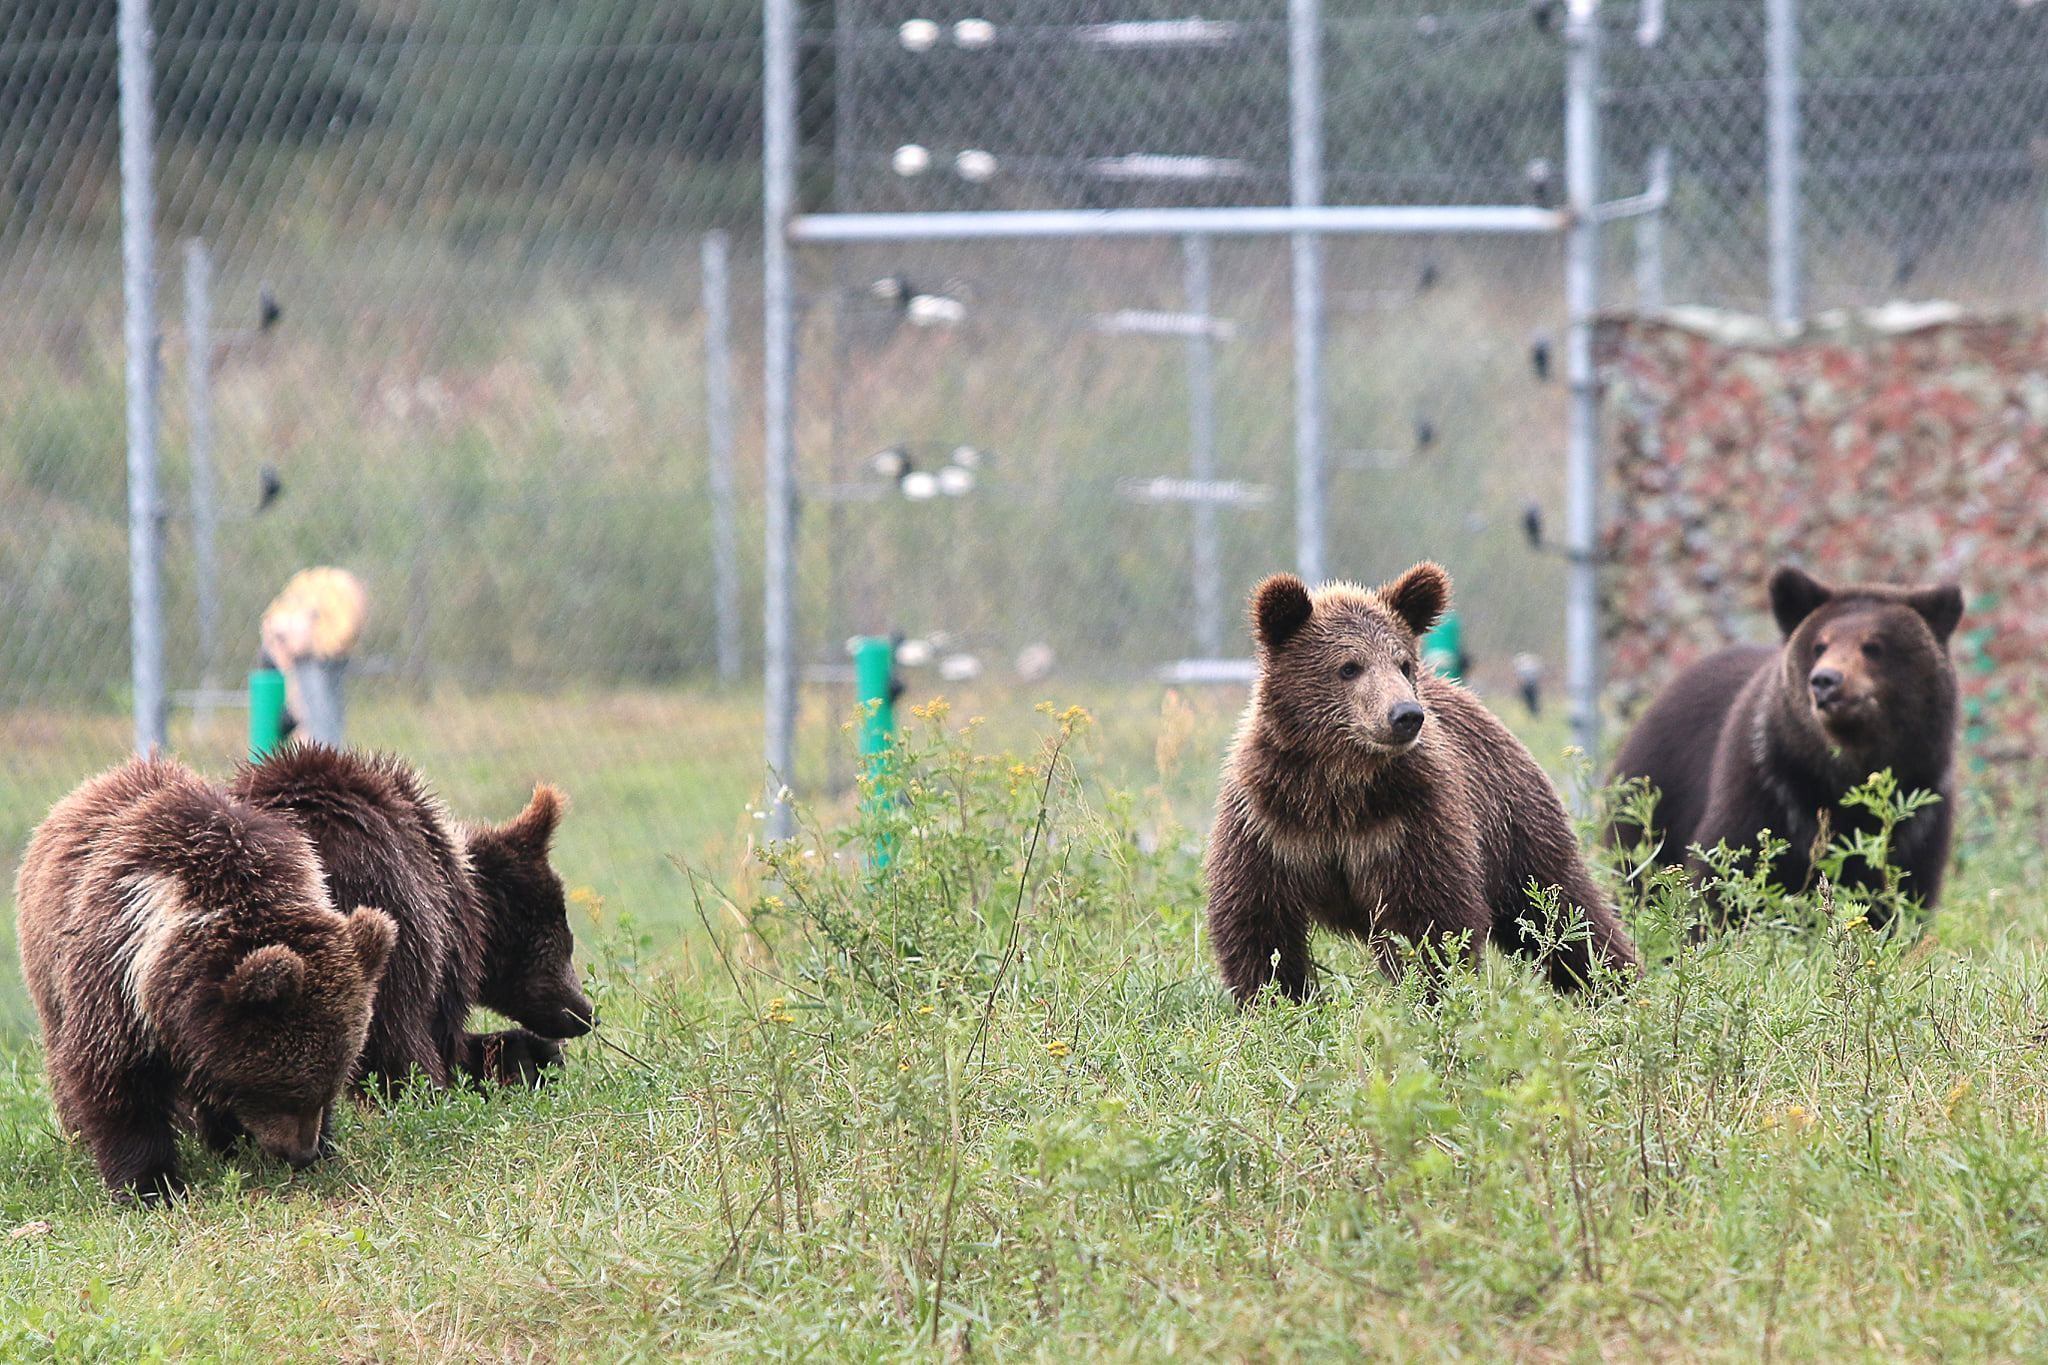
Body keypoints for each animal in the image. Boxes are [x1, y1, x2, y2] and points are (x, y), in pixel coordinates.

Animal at [14, 757, 399, 1203]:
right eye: (285, 1089)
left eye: (330, 1085)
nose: (301, 1153)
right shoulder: (115, 972)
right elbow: (116, 1080)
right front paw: (151, 1185)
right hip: (48, 972)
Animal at [234, 740, 598, 1096]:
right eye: (563, 939)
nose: (584, 1012)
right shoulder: (439, 931)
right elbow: (441, 1036)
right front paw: (517, 1058)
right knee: (397, 1029)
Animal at [1204, 556, 1638, 1002]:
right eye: (1349, 667)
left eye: (1403, 663)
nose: (1405, 714)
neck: (1339, 784)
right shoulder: (1270, 821)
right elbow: (1258, 922)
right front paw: (1274, 998)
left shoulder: (1409, 820)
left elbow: (1432, 920)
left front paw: (1432, 992)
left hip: (1513, 823)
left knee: (1562, 907)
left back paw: (1613, 982)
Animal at [1605, 564, 1957, 929]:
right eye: (1819, 645)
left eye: (1873, 645)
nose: (1825, 680)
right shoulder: (1768, 785)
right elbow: (1726, 870)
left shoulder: (1919, 814)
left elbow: (1900, 893)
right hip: (1653, 795)